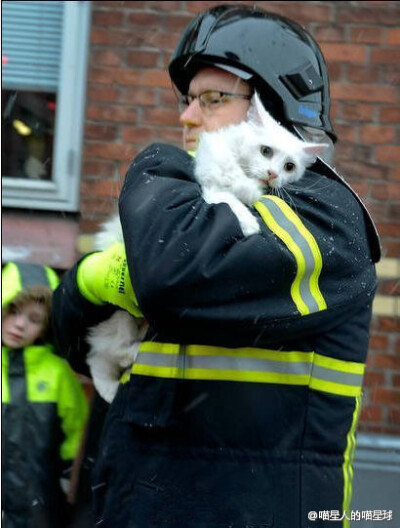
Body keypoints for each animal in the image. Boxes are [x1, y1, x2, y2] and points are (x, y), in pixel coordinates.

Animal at [194, 93, 328, 235]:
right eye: (266, 151)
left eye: (289, 166)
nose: (273, 174)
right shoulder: (210, 177)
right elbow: (227, 196)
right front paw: (248, 223)